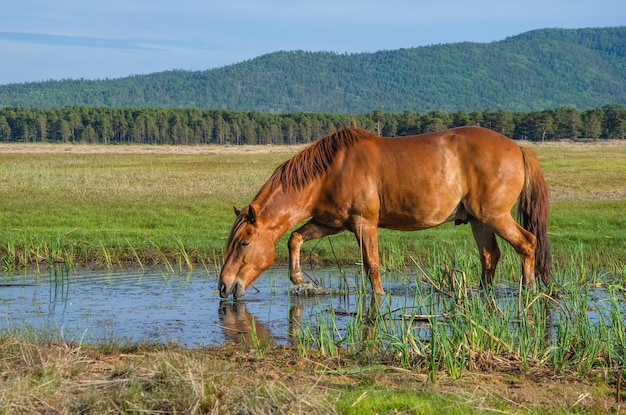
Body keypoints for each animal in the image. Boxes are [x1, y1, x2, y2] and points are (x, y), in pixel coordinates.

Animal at [217, 127, 548, 300]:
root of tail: (517, 148)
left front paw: (378, 297)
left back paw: (529, 290)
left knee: (527, 244)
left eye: (244, 243)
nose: (223, 286)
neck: (330, 171)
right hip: (479, 221)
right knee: (490, 257)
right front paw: (301, 280)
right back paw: (482, 295)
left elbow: (372, 265)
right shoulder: (331, 223)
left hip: (495, 217)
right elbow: (295, 238)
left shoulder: (364, 224)